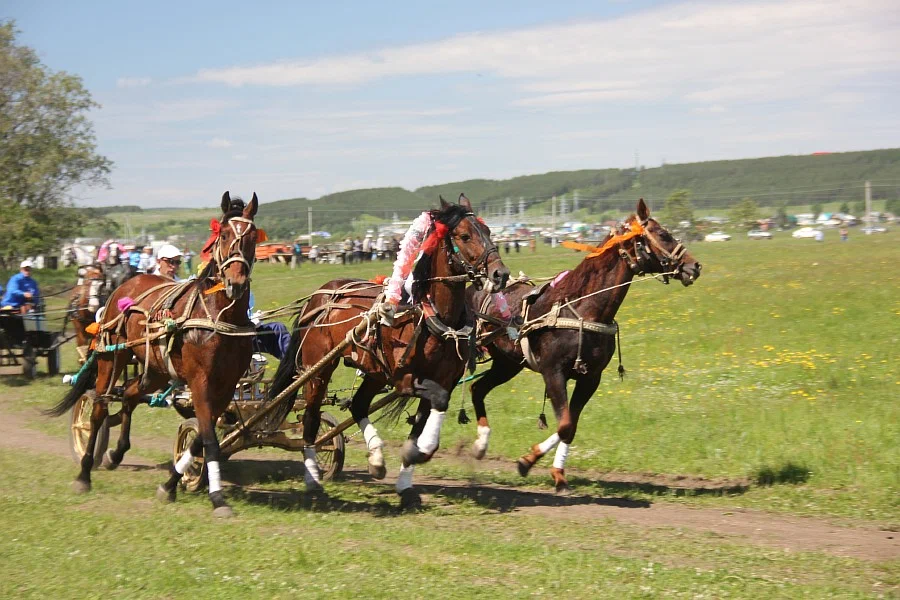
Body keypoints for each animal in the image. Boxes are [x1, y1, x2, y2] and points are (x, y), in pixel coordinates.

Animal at [46, 191, 260, 516]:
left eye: (252, 236)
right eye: (223, 234)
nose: (235, 283)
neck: (216, 316)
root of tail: (129, 283)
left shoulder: (225, 387)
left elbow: (199, 440)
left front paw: (171, 484)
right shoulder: (200, 382)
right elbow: (209, 440)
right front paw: (217, 498)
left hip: (156, 370)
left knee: (130, 394)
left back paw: (116, 453)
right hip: (112, 358)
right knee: (99, 408)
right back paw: (84, 472)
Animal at [268, 196, 510, 506]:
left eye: (490, 231)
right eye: (465, 235)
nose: (500, 274)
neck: (431, 317)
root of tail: (318, 297)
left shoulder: (442, 379)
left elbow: (422, 424)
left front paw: (407, 479)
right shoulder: (404, 379)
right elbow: (438, 403)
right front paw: (420, 451)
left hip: (374, 371)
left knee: (358, 405)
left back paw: (376, 459)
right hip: (318, 369)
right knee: (311, 418)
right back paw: (312, 478)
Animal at [464, 199, 704, 494]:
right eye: (663, 234)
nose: (694, 266)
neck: (580, 307)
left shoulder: (590, 378)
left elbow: (571, 426)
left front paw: (555, 472)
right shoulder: (553, 372)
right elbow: (565, 424)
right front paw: (530, 461)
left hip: (507, 365)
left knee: (477, 389)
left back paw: (480, 444)